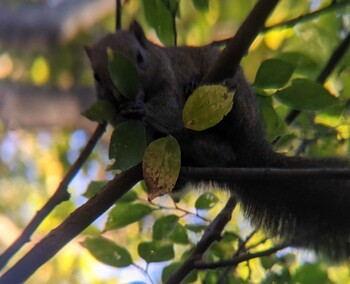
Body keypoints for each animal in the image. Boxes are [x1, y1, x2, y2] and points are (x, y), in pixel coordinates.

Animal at [85, 21, 350, 260]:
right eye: (96, 76)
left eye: (139, 57)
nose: (122, 94)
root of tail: (251, 155)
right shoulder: (112, 114)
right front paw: (131, 112)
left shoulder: (171, 79)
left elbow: (170, 111)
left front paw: (142, 109)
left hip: (238, 102)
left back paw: (199, 91)